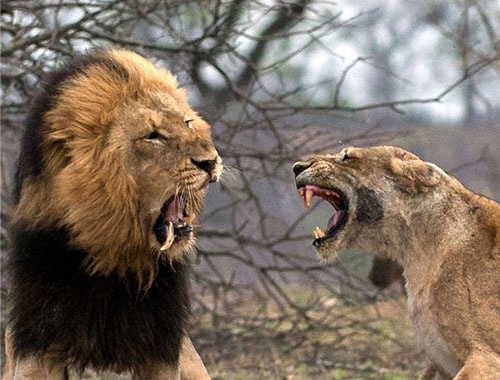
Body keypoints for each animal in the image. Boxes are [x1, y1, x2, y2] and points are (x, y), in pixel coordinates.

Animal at [3, 49, 222, 380]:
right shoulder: (36, 350)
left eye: (188, 122)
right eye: (153, 135)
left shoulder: (161, 354)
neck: (113, 264)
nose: (210, 161)